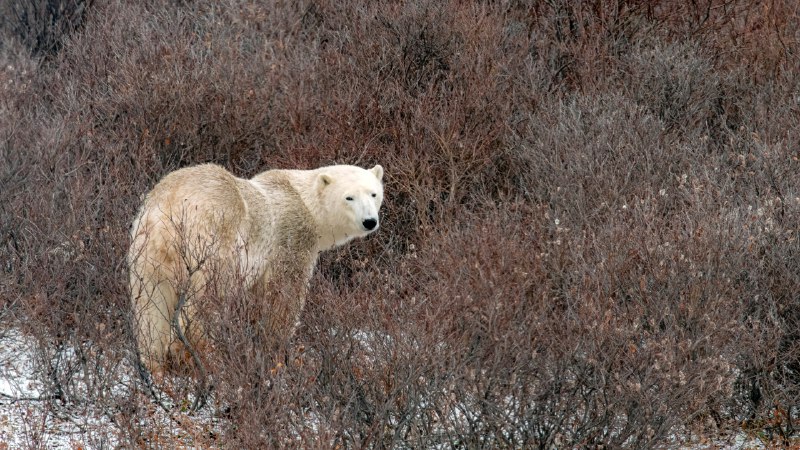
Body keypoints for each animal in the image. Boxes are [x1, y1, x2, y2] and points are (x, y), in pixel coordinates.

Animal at [128, 163, 384, 372]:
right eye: (349, 197)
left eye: (374, 194)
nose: (369, 221)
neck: (304, 202)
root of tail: (168, 211)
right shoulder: (291, 238)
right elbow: (284, 295)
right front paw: (278, 349)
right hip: (212, 240)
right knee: (206, 299)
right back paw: (202, 355)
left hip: (147, 253)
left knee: (150, 308)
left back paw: (155, 366)